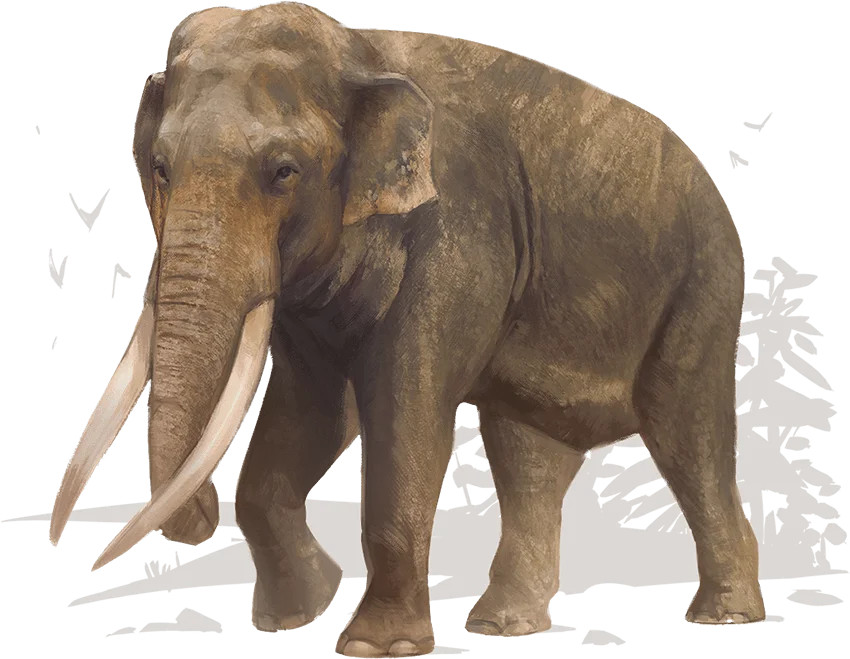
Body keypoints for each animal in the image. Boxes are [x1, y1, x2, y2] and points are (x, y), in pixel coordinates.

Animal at [48, 1, 766, 655]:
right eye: (160, 168)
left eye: (284, 172)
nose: (197, 522)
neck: (358, 49)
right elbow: (316, 410)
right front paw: (299, 610)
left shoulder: (458, 231)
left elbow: (406, 404)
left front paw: (374, 645)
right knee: (529, 456)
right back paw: (503, 624)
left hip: (702, 284)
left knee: (686, 435)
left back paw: (724, 613)